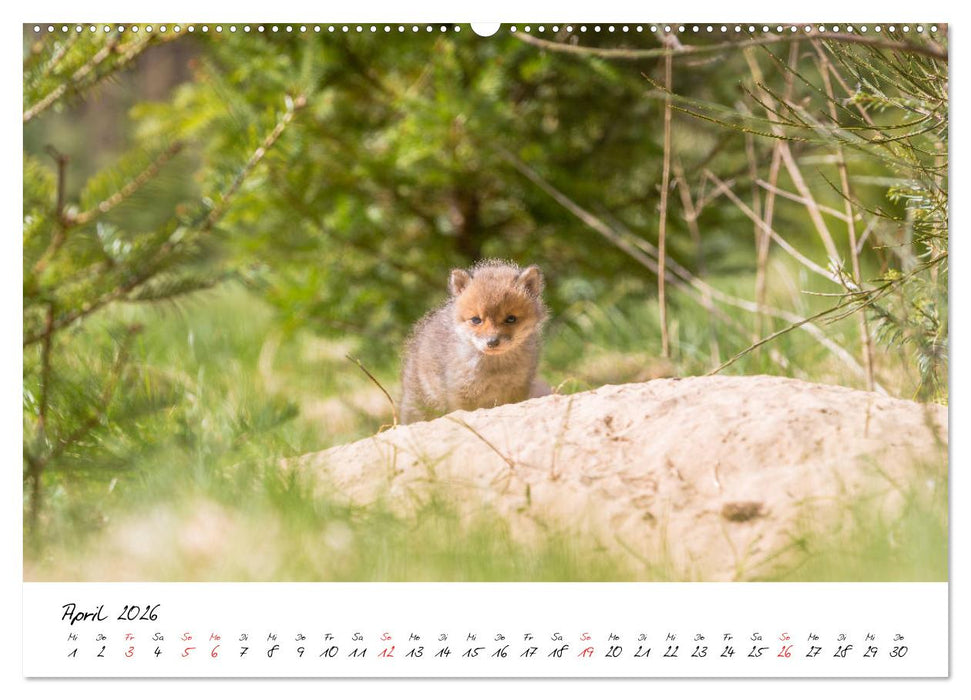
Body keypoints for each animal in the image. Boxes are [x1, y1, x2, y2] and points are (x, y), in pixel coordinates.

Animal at [399, 260, 549, 425]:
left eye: (511, 319)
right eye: (476, 320)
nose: (492, 342)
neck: (495, 370)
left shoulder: (518, 389)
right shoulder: (461, 395)